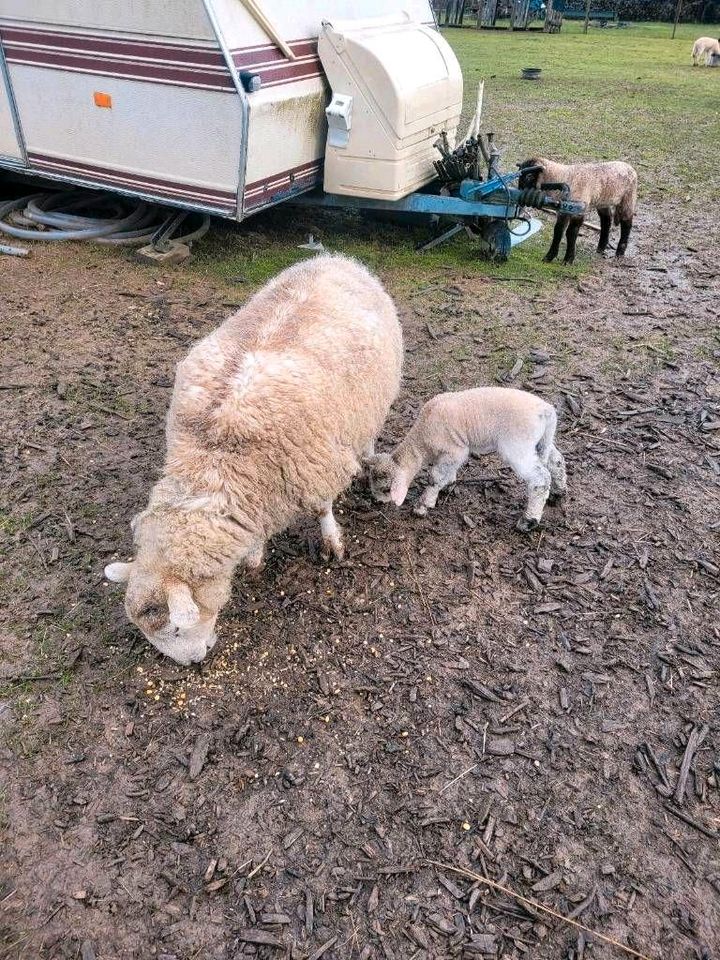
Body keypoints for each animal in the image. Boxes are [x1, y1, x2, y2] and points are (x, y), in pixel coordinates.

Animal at [104, 251, 402, 664]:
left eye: (176, 629)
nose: (192, 663)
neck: (215, 456)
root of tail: (333, 257)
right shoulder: (259, 490)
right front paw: (255, 558)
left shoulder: (315, 464)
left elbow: (322, 508)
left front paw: (333, 543)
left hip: (372, 402)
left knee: (369, 434)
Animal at [366, 384, 568, 532]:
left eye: (386, 489)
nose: (377, 502)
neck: (421, 441)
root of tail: (546, 411)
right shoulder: (453, 452)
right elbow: (447, 472)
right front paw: (449, 484)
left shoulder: (455, 449)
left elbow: (435, 477)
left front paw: (423, 505)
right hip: (540, 441)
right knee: (556, 461)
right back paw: (558, 492)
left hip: (518, 445)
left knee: (540, 478)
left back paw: (528, 521)